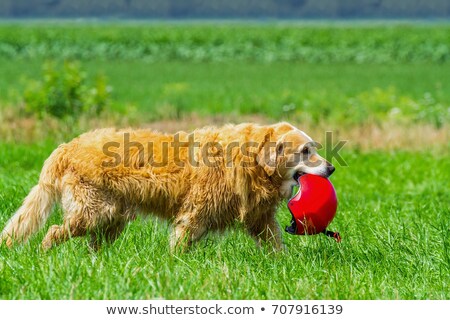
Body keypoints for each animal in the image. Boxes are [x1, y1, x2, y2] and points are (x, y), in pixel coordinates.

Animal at [0, 122, 334, 250]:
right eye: (305, 151)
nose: (330, 168)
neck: (252, 160)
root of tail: (66, 147)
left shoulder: (259, 218)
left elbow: (275, 244)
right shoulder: (196, 212)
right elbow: (181, 241)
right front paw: (175, 263)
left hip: (112, 216)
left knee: (94, 244)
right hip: (94, 210)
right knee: (54, 232)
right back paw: (46, 254)